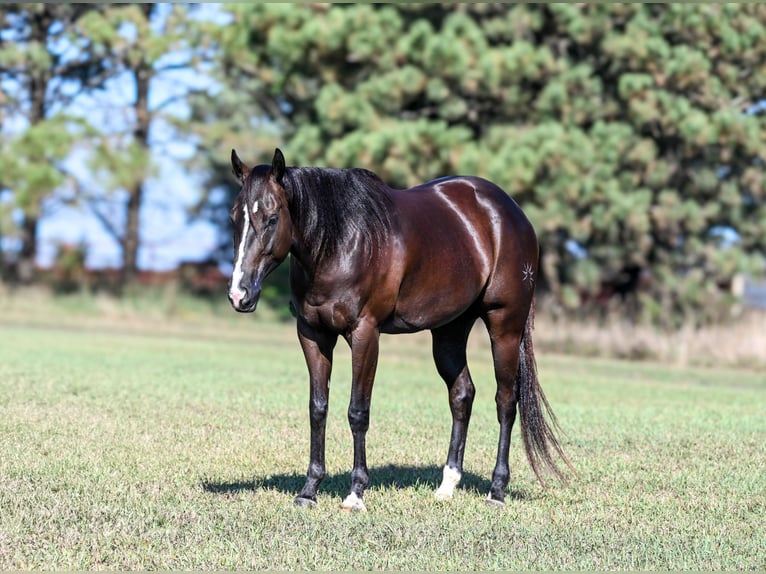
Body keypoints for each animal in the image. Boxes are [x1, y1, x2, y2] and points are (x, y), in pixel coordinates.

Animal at [227, 148, 571, 511]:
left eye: (272, 217)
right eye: (235, 216)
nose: (239, 294)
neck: (340, 243)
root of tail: (513, 213)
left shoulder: (365, 334)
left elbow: (357, 411)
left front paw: (356, 493)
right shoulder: (313, 335)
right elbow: (317, 409)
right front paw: (309, 491)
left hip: (505, 325)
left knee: (505, 402)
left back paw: (497, 490)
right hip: (449, 332)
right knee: (462, 395)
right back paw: (447, 485)